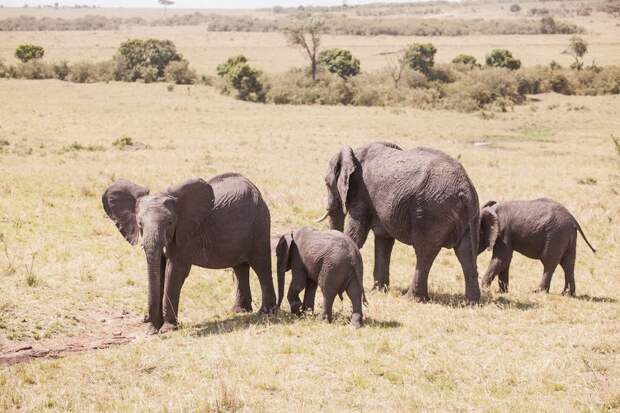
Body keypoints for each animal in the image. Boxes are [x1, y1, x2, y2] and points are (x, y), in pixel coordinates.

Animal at [102, 172, 278, 334]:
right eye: (139, 224)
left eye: (170, 222)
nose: (146, 320)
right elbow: (159, 269)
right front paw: (154, 329)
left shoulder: (186, 234)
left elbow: (174, 271)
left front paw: (167, 329)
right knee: (240, 267)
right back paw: (239, 311)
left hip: (260, 222)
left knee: (261, 265)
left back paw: (266, 312)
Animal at [318, 142, 482, 302]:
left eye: (326, 183)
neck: (353, 153)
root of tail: (464, 190)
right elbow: (384, 240)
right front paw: (379, 291)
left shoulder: (361, 194)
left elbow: (357, 236)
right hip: (471, 215)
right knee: (466, 253)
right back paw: (471, 302)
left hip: (433, 212)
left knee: (424, 252)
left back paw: (412, 298)